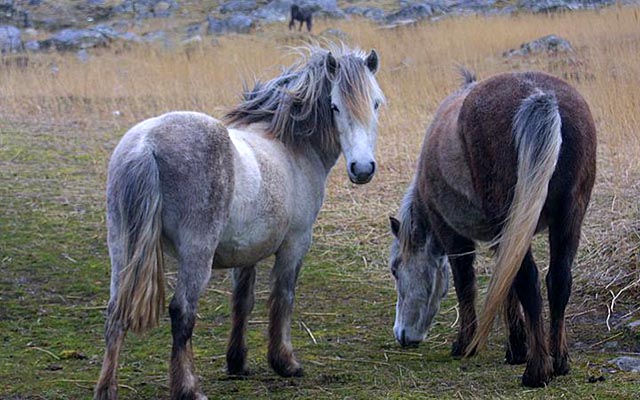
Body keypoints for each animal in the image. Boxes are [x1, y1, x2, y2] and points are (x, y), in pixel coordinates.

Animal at [95, 44, 384, 400]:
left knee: (115, 312)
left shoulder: (246, 253)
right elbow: (283, 298)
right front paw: (285, 362)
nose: (362, 168)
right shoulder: (295, 244)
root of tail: (146, 144)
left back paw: (107, 388)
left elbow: (242, 302)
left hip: (121, 246)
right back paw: (188, 388)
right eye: (335, 106)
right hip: (196, 254)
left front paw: (237, 362)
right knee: (182, 312)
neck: (290, 146)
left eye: (376, 102)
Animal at [388, 70, 596, 387]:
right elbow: (505, 285)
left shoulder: (453, 235)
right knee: (558, 280)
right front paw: (516, 347)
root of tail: (541, 96)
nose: (402, 335)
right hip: (568, 217)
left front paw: (465, 344)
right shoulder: (507, 238)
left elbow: (465, 284)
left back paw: (537, 371)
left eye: (396, 269)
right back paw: (558, 361)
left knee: (530, 281)